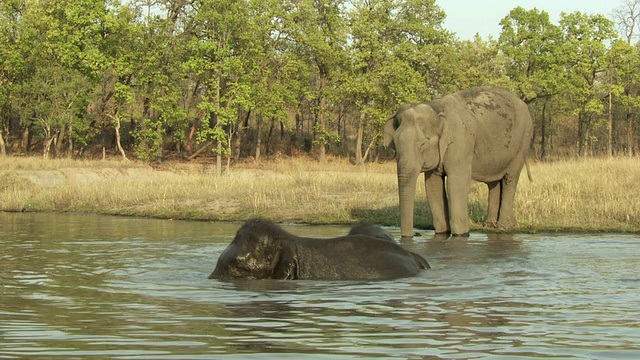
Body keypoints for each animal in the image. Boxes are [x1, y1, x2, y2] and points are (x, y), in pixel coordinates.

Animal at [384, 86, 536, 239]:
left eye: (422, 144)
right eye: (395, 144)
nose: (413, 235)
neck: (436, 107)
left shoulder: (461, 141)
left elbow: (455, 184)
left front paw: (461, 235)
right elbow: (433, 187)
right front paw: (442, 233)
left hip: (523, 141)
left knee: (510, 179)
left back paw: (503, 226)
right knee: (494, 182)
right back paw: (491, 225)